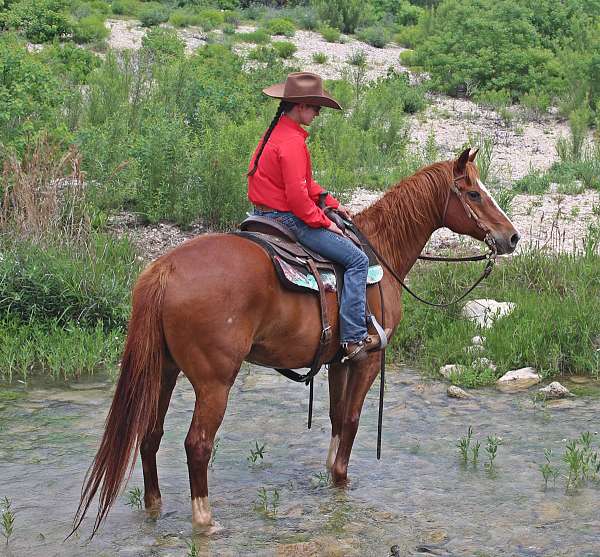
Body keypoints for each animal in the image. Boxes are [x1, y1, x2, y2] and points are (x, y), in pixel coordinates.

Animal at [71, 147, 520, 536]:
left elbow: (337, 420)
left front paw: (330, 480)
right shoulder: (367, 358)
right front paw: (341, 482)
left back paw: (155, 508)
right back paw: (205, 521)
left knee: (150, 435)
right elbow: (352, 421)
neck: (380, 254)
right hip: (214, 381)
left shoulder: (339, 360)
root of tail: (165, 269)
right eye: (474, 193)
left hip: (165, 369)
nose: (512, 237)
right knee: (197, 444)